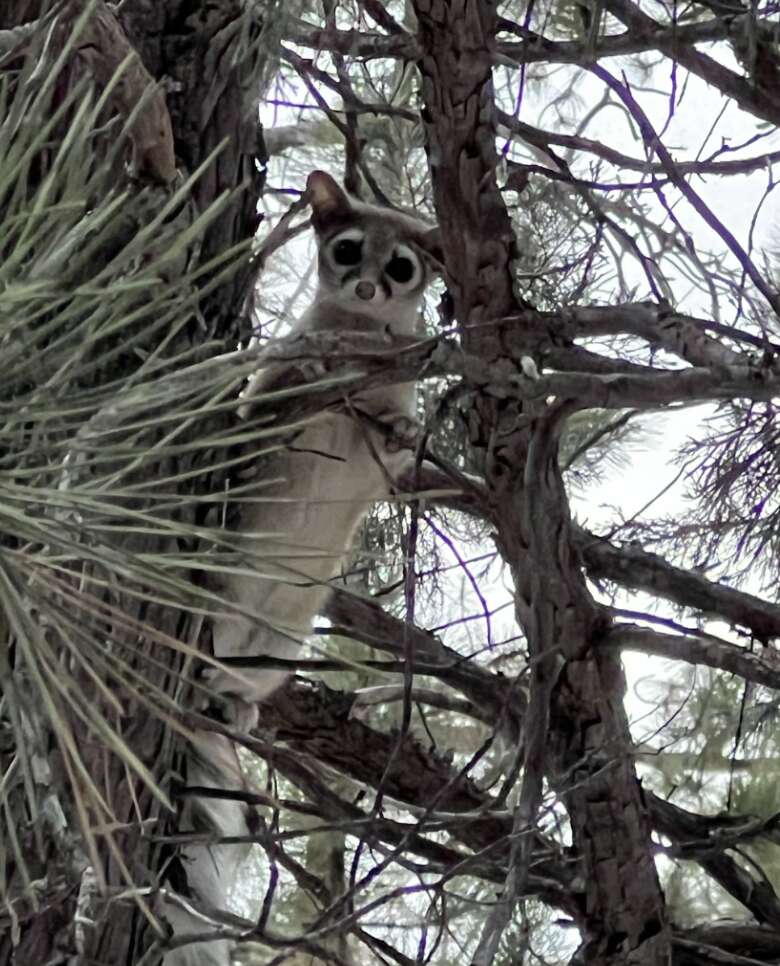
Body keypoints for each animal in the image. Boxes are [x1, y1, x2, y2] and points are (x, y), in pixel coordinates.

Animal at [166, 174, 438, 966]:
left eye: (403, 266)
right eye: (346, 249)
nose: (370, 286)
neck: (361, 341)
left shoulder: (388, 415)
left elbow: (392, 460)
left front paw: (406, 430)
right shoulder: (278, 379)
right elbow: (272, 402)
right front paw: (318, 364)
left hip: (279, 645)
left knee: (240, 680)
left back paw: (234, 701)